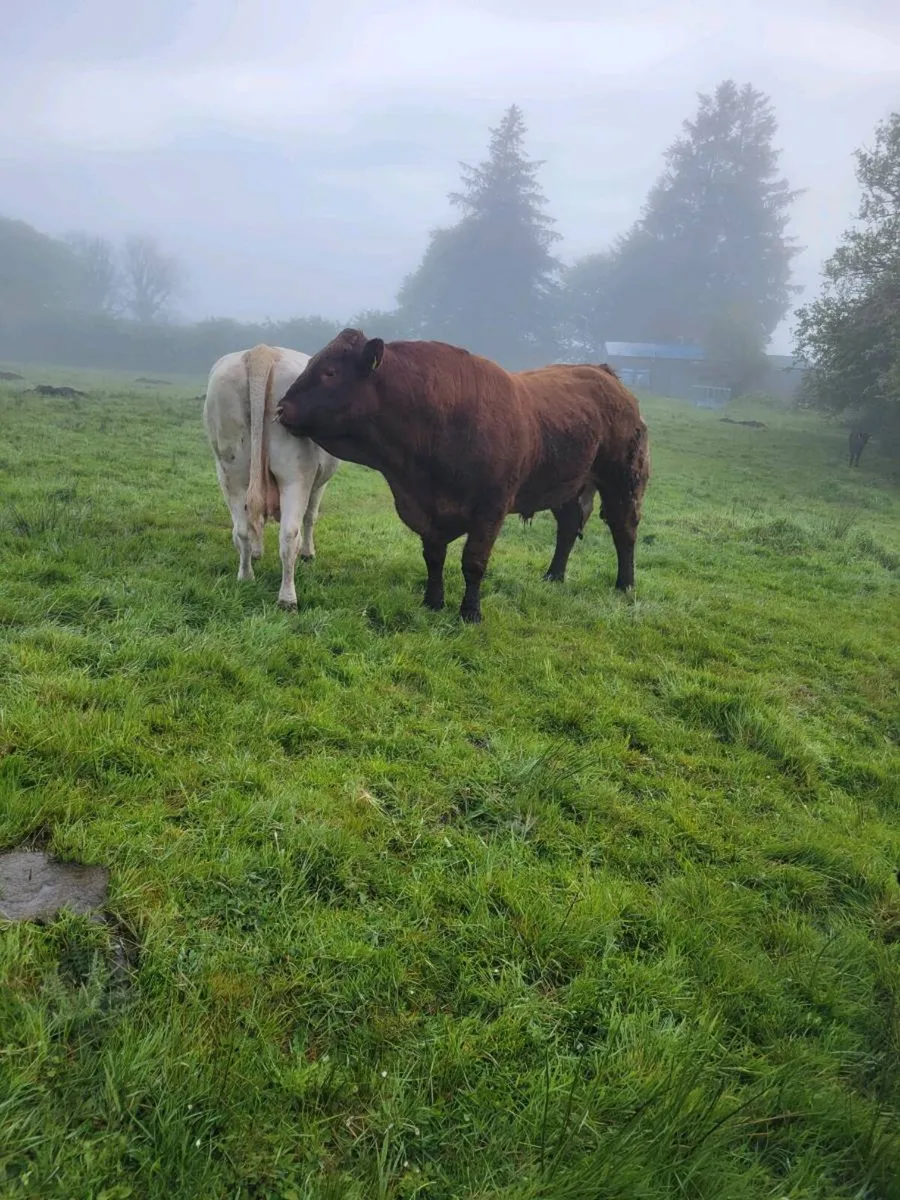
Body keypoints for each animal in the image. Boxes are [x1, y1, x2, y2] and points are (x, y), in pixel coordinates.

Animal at [202, 344, 340, 609]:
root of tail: (262, 352)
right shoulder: (319, 483)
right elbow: (311, 516)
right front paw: (308, 553)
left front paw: (257, 552)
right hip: (295, 475)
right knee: (288, 534)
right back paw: (287, 598)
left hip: (230, 471)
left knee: (243, 528)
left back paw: (246, 576)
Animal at [276, 329, 649, 624]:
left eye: (329, 372)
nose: (280, 408)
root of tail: (604, 375)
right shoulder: (427, 511)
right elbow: (434, 558)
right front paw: (433, 601)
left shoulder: (490, 510)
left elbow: (473, 562)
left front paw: (470, 612)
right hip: (569, 486)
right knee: (569, 527)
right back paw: (554, 575)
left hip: (622, 480)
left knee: (624, 530)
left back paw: (625, 583)